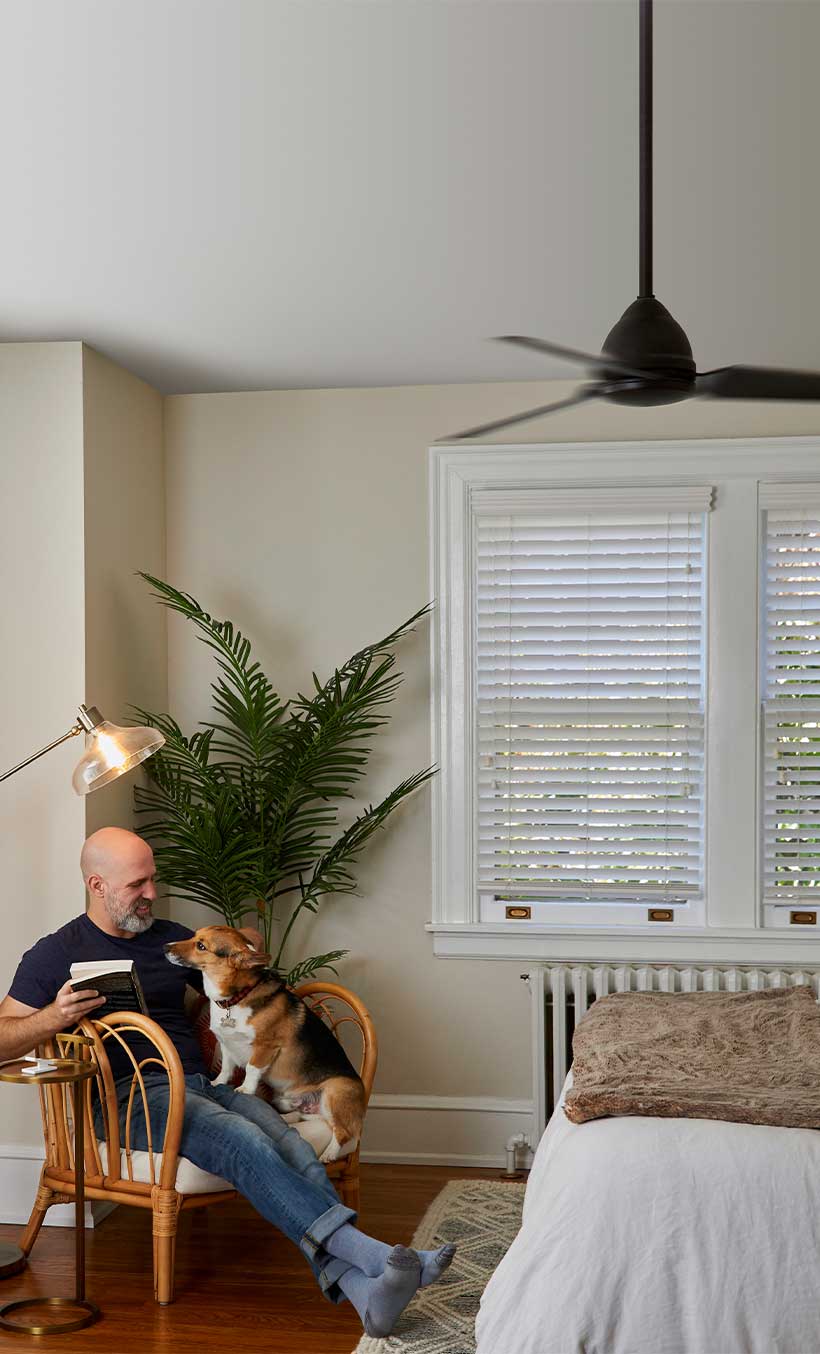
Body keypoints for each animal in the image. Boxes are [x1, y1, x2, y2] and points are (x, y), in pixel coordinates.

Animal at [163, 931, 365, 1164]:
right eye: (195, 936)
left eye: (201, 946)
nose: (165, 947)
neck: (235, 998)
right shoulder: (226, 1045)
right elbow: (226, 1069)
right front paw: (216, 1084)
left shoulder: (265, 1047)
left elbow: (251, 1069)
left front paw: (245, 1090)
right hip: (290, 1101)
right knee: (309, 1116)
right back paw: (288, 1119)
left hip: (334, 1093)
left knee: (342, 1132)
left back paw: (329, 1154)